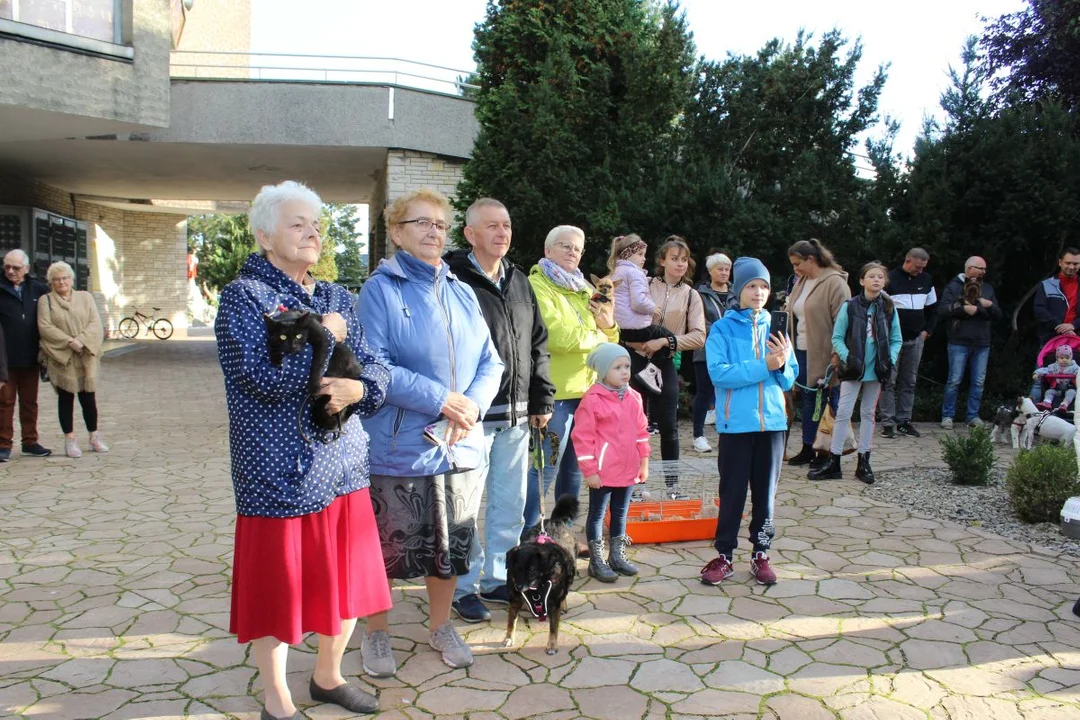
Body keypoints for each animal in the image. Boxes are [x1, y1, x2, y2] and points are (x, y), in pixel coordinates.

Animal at [501, 498, 578, 656]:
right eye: (516, 568)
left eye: (532, 570)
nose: (518, 587)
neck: (536, 587)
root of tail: (555, 520)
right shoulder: (514, 601)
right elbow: (511, 622)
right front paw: (509, 638)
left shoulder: (553, 604)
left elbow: (554, 628)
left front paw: (552, 645)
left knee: (565, 591)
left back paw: (564, 605)